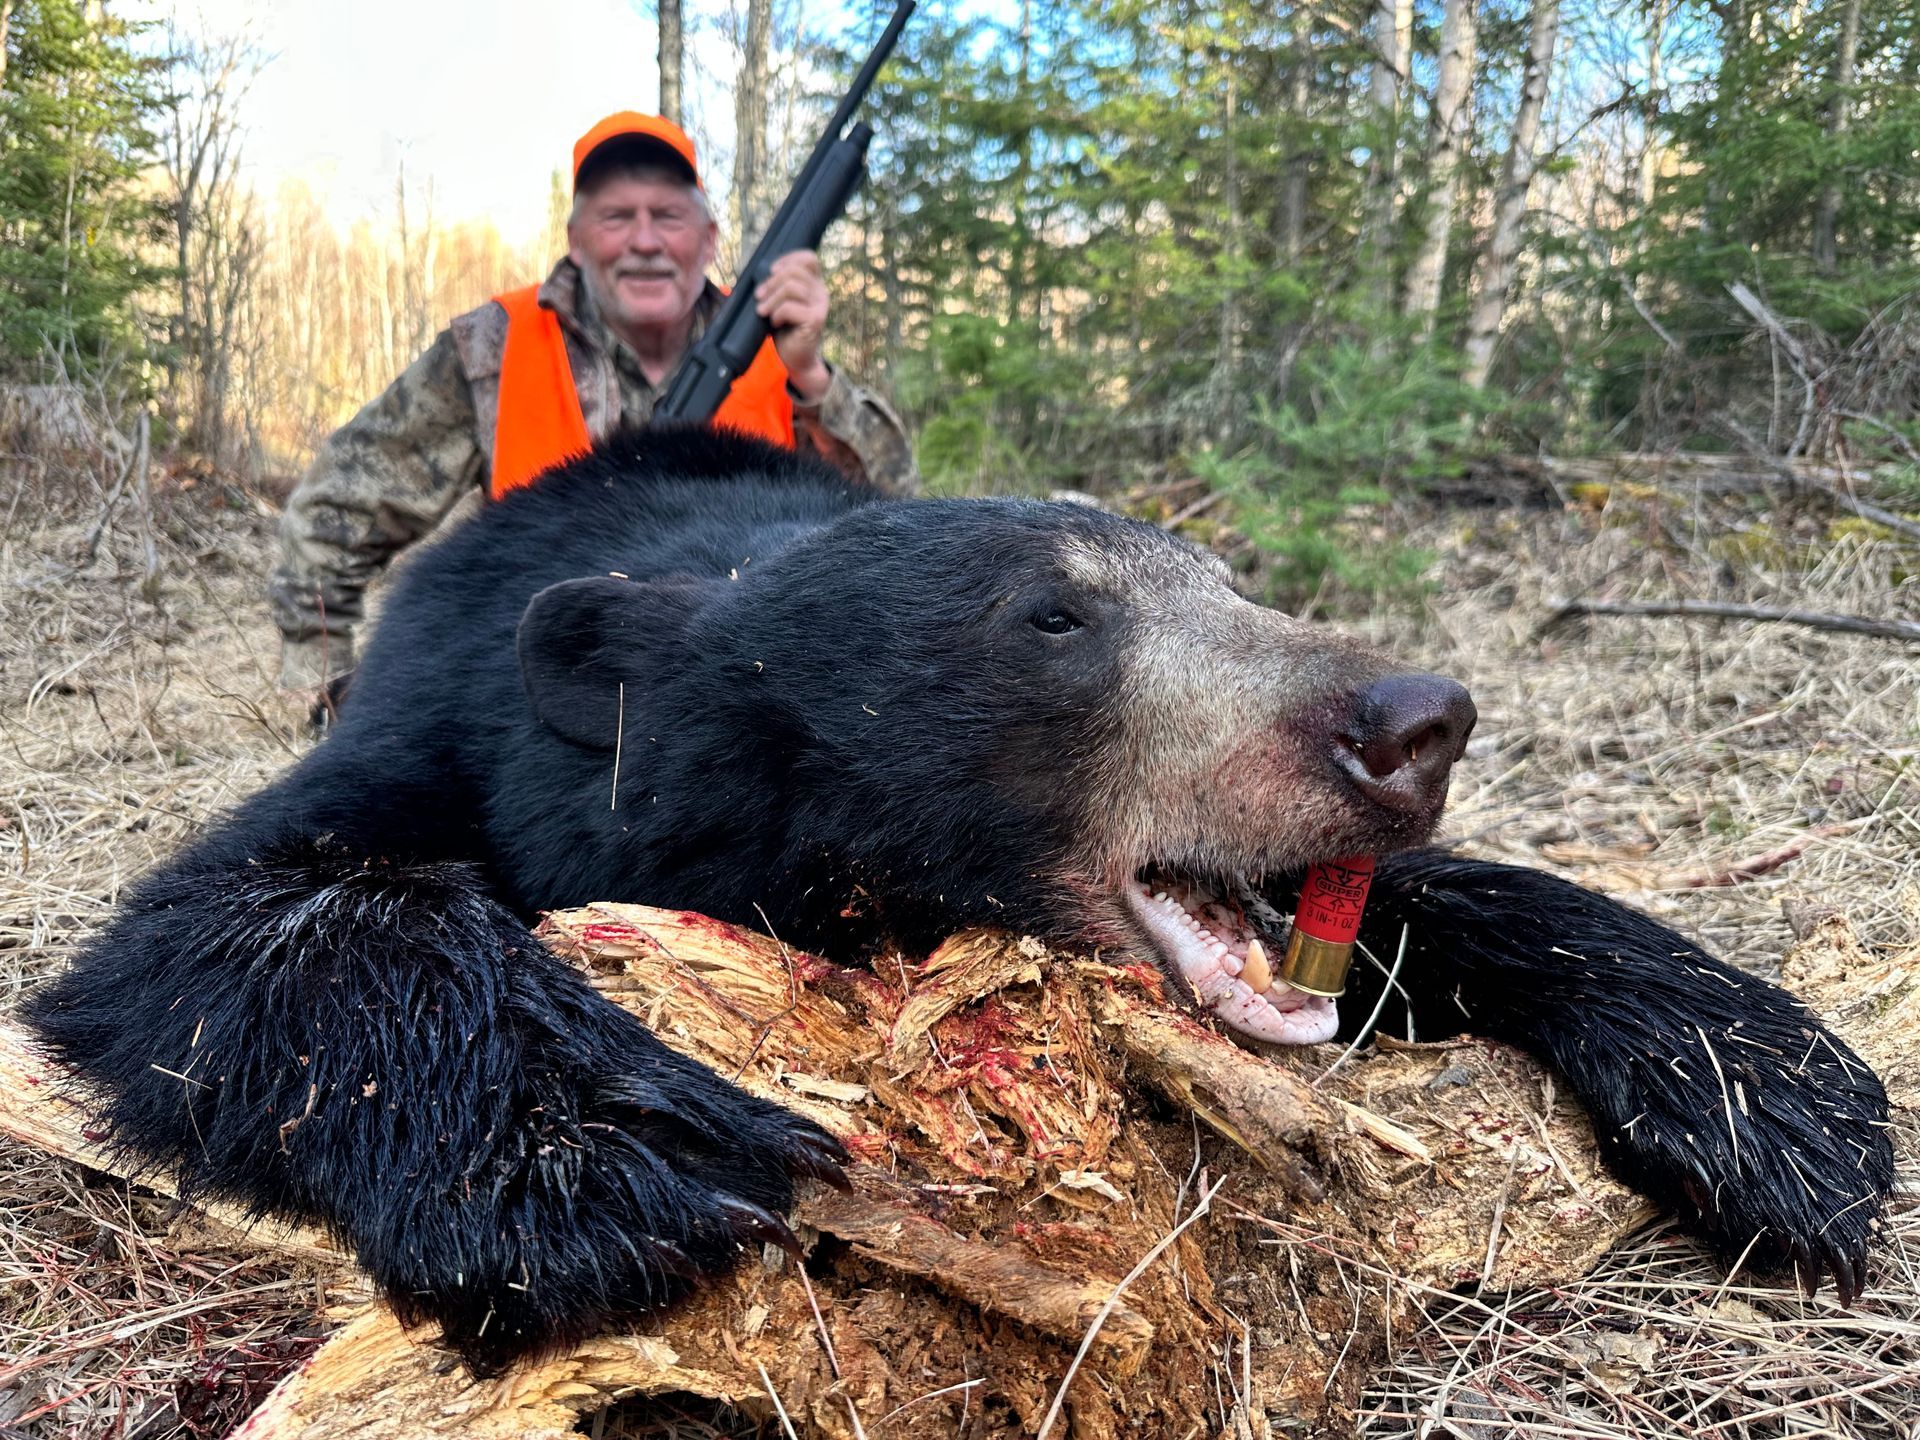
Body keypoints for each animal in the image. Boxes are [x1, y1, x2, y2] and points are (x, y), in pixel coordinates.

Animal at [26, 428, 1893, 1377]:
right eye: (1054, 619)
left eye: (1229, 584)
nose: (1414, 718)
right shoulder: (453, 733)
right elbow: (217, 923)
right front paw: (609, 1149)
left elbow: (1453, 907)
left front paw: (1777, 1093)